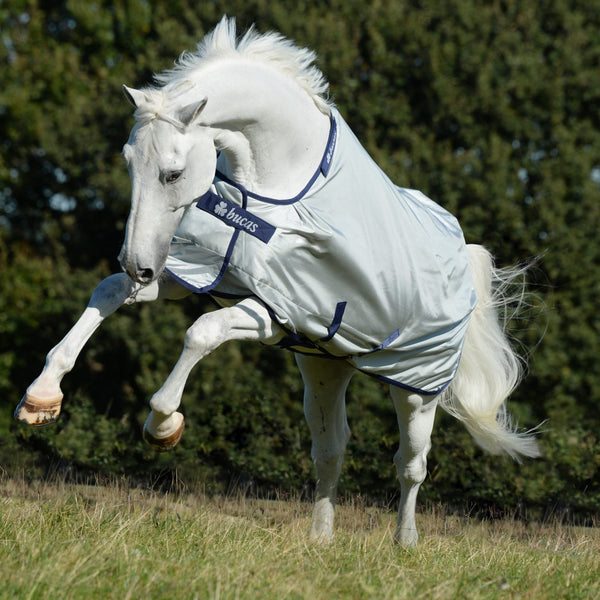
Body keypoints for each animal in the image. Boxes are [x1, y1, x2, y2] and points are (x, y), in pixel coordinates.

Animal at [14, 16, 540, 548]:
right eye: (127, 162)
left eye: (173, 173)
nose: (137, 264)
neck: (277, 185)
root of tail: (461, 251)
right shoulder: (203, 271)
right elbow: (109, 292)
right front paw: (42, 397)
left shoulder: (276, 311)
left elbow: (201, 333)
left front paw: (163, 424)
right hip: (324, 367)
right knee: (331, 450)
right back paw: (321, 539)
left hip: (416, 387)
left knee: (411, 465)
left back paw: (404, 543)